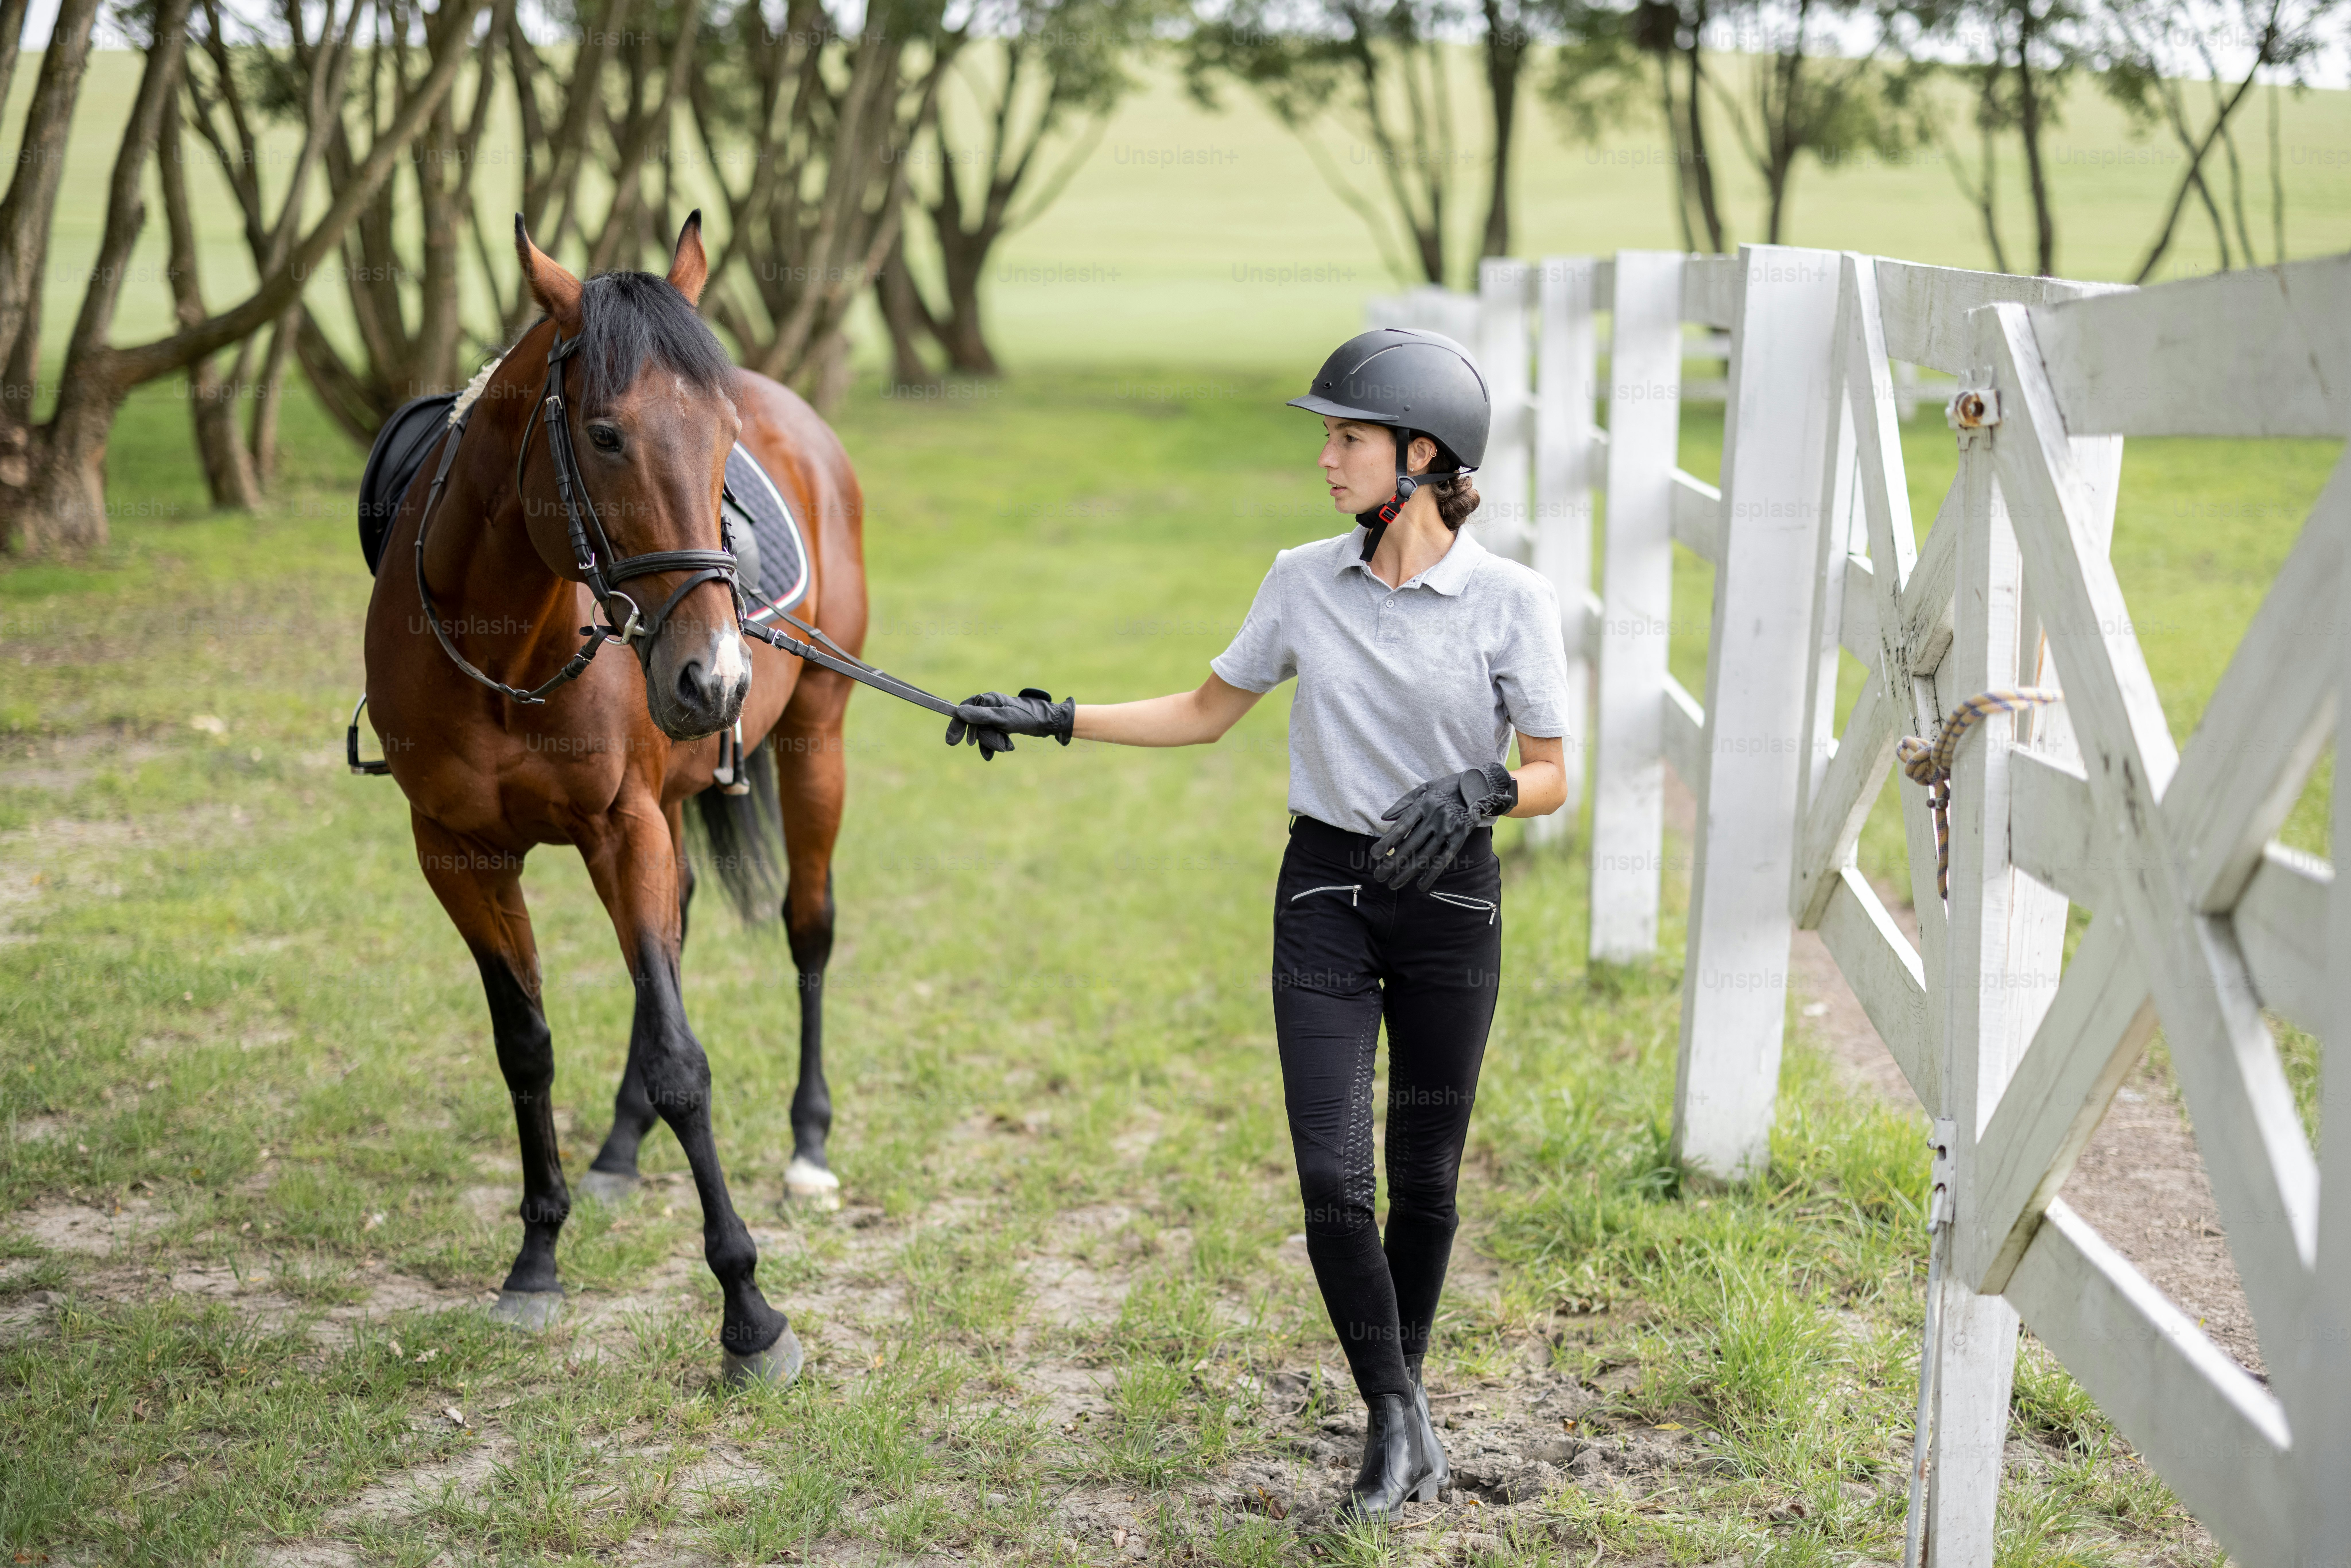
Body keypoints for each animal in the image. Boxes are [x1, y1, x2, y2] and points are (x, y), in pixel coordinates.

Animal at [361, 213, 862, 1382]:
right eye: (603, 436)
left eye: (723, 436)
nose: (713, 679)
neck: (508, 646)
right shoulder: (455, 850)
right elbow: (526, 1045)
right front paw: (536, 1259)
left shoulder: (621, 827)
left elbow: (683, 1059)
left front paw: (750, 1313)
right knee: (671, 939)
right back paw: (620, 1151)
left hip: (816, 740)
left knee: (808, 926)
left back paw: (808, 1145)